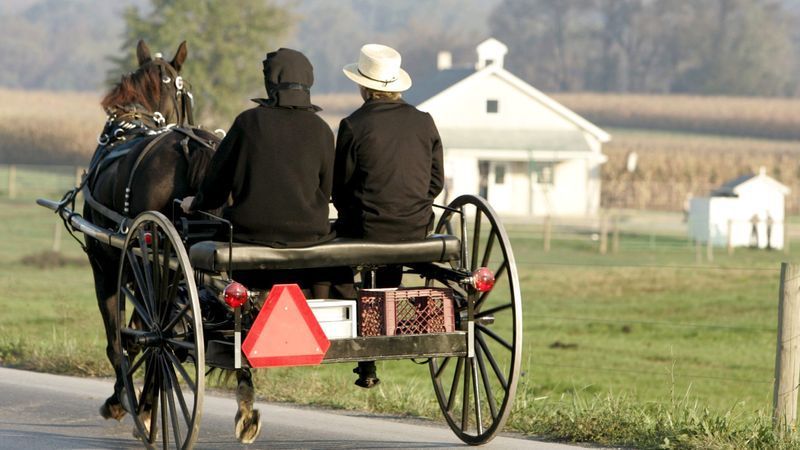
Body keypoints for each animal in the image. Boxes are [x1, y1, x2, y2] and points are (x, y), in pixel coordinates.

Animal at [83, 40, 260, 444]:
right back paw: (245, 402)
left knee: (158, 336)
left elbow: (121, 338)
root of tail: (194, 147)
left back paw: (148, 407)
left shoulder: (109, 266)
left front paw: (122, 401)